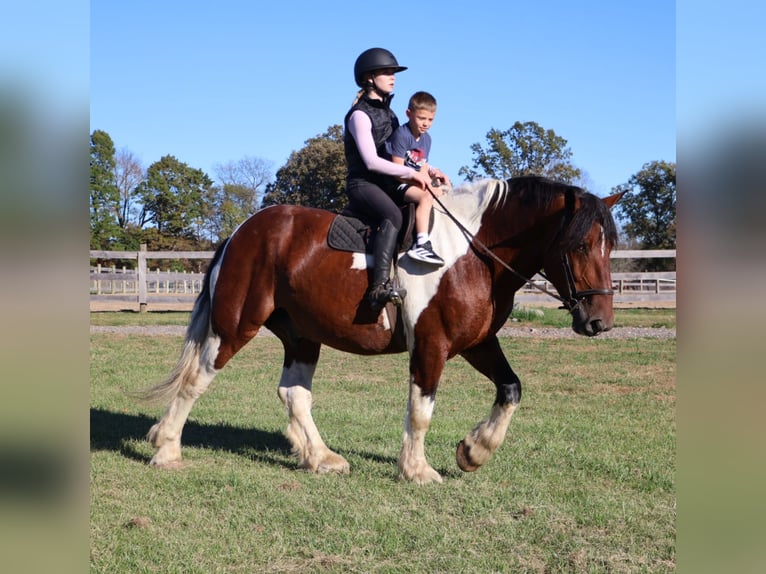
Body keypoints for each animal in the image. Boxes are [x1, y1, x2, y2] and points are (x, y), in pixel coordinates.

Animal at [143, 176, 622, 484]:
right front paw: (417, 470)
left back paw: (321, 458)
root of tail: (240, 233)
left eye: (610, 246)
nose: (599, 322)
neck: (472, 253)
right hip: (235, 326)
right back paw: (166, 449)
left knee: (294, 394)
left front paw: (473, 451)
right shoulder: (431, 343)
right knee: (195, 380)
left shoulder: (478, 342)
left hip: (302, 335)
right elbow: (421, 409)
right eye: (581, 245)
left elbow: (511, 389)